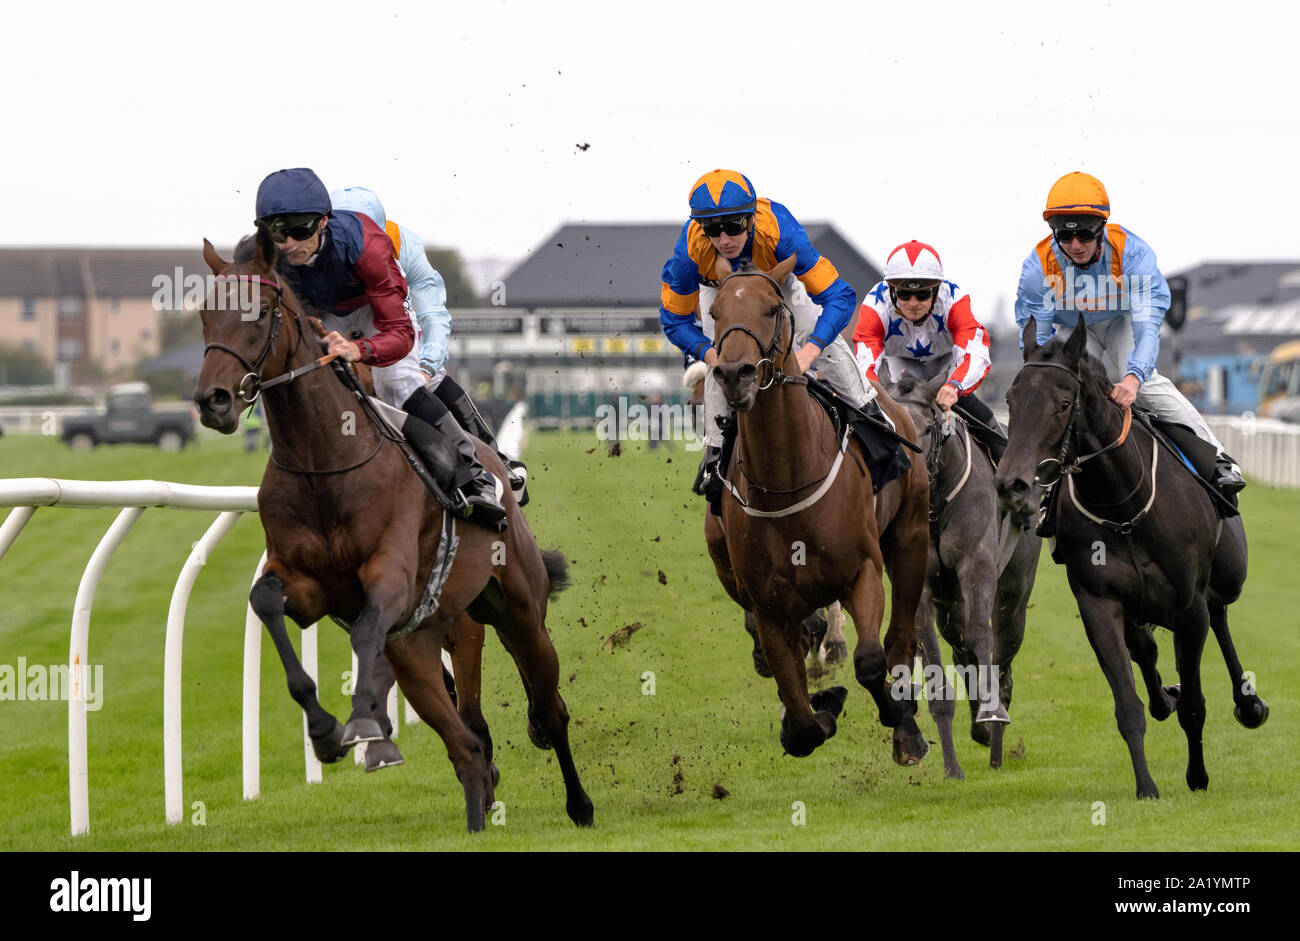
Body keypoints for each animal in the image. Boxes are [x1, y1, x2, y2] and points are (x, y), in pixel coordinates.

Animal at [192, 227, 595, 831]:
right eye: (202, 314)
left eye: (260, 312)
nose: (212, 401)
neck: (325, 459)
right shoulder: (307, 586)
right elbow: (265, 601)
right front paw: (324, 730)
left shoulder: (392, 576)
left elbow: (365, 631)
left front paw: (363, 726)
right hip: (423, 646)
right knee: (467, 745)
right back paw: (477, 811)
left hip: (520, 612)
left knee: (549, 712)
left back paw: (580, 804)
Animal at [702, 256, 935, 764]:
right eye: (715, 314)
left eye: (772, 309)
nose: (734, 374)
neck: (784, 481)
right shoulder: (768, 606)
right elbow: (800, 714)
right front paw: (821, 705)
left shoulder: (862, 571)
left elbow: (871, 660)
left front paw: (894, 711)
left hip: (910, 539)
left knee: (900, 638)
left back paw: (907, 732)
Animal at [878, 371, 1040, 774]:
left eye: (925, 427)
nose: (908, 475)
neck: (934, 506)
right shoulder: (920, 588)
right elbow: (934, 666)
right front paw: (952, 767)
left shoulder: (976, 563)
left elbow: (983, 636)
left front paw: (992, 713)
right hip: (948, 604)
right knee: (962, 645)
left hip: (1014, 596)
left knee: (1001, 652)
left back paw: (995, 738)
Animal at [998, 319, 1263, 795]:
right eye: (1010, 399)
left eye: (1063, 404)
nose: (1011, 483)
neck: (1123, 505)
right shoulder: (1097, 603)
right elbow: (1128, 704)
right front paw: (1147, 786)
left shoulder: (1188, 606)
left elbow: (1195, 704)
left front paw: (1197, 776)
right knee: (1146, 647)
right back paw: (1165, 693)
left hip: (1229, 574)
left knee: (1220, 614)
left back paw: (1249, 703)